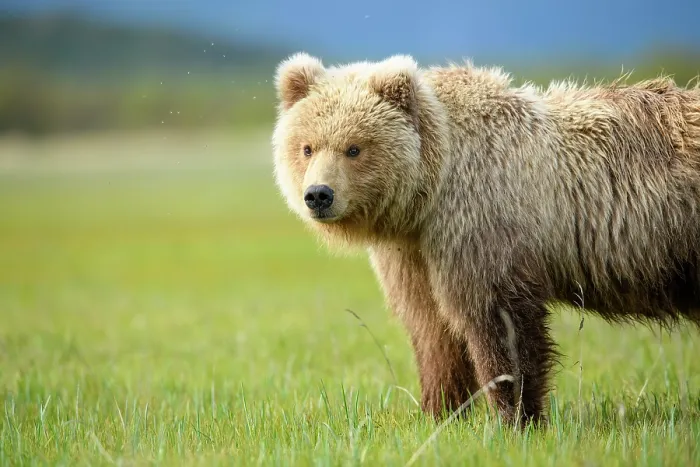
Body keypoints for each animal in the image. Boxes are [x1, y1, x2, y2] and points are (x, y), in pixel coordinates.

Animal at [271, 52, 700, 425]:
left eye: (354, 148)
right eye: (307, 147)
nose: (319, 195)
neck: (432, 188)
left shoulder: (480, 222)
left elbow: (499, 321)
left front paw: (516, 417)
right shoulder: (413, 251)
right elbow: (433, 329)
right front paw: (440, 412)